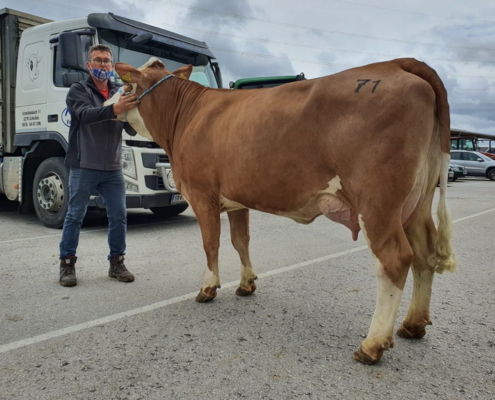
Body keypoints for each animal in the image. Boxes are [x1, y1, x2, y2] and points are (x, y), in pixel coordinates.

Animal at [114, 57, 460, 364]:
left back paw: (372, 344)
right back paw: (412, 325)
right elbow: (240, 241)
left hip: (378, 201)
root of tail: (396, 63)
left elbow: (210, 244)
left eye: (125, 84)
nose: (111, 105)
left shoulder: (202, 195)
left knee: (394, 258)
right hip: (416, 202)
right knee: (424, 254)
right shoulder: (237, 199)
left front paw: (208, 287)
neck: (186, 116)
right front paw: (246, 284)